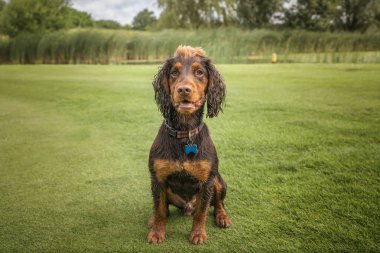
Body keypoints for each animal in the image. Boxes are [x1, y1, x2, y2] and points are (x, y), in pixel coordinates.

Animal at [148, 45, 232, 245]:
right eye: (174, 72)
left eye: (200, 72)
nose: (183, 89)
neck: (184, 134)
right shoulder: (157, 179)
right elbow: (159, 209)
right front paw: (157, 232)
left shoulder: (207, 181)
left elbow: (202, 212)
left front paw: (198, 234)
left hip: (219, 181)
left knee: (218, 203)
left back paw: (222, 217)